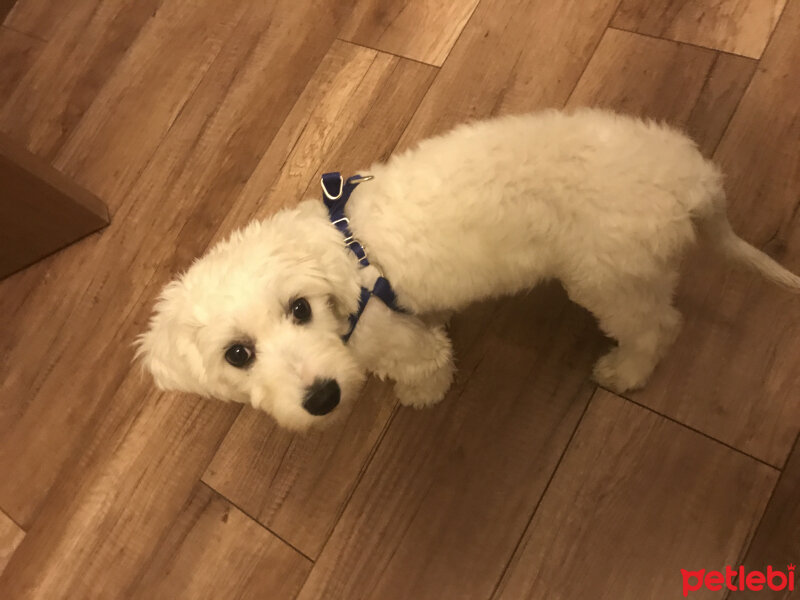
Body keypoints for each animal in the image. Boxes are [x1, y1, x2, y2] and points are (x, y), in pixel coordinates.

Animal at [138, 110, 800, 432]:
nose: (323, 398)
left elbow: (426, 367)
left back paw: (627, 371)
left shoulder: (397, 342)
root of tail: (695, 180)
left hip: (609, 278)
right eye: (238, 354)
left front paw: (421, 397)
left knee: (658, 328)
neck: (342, 263)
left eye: (299, 308)